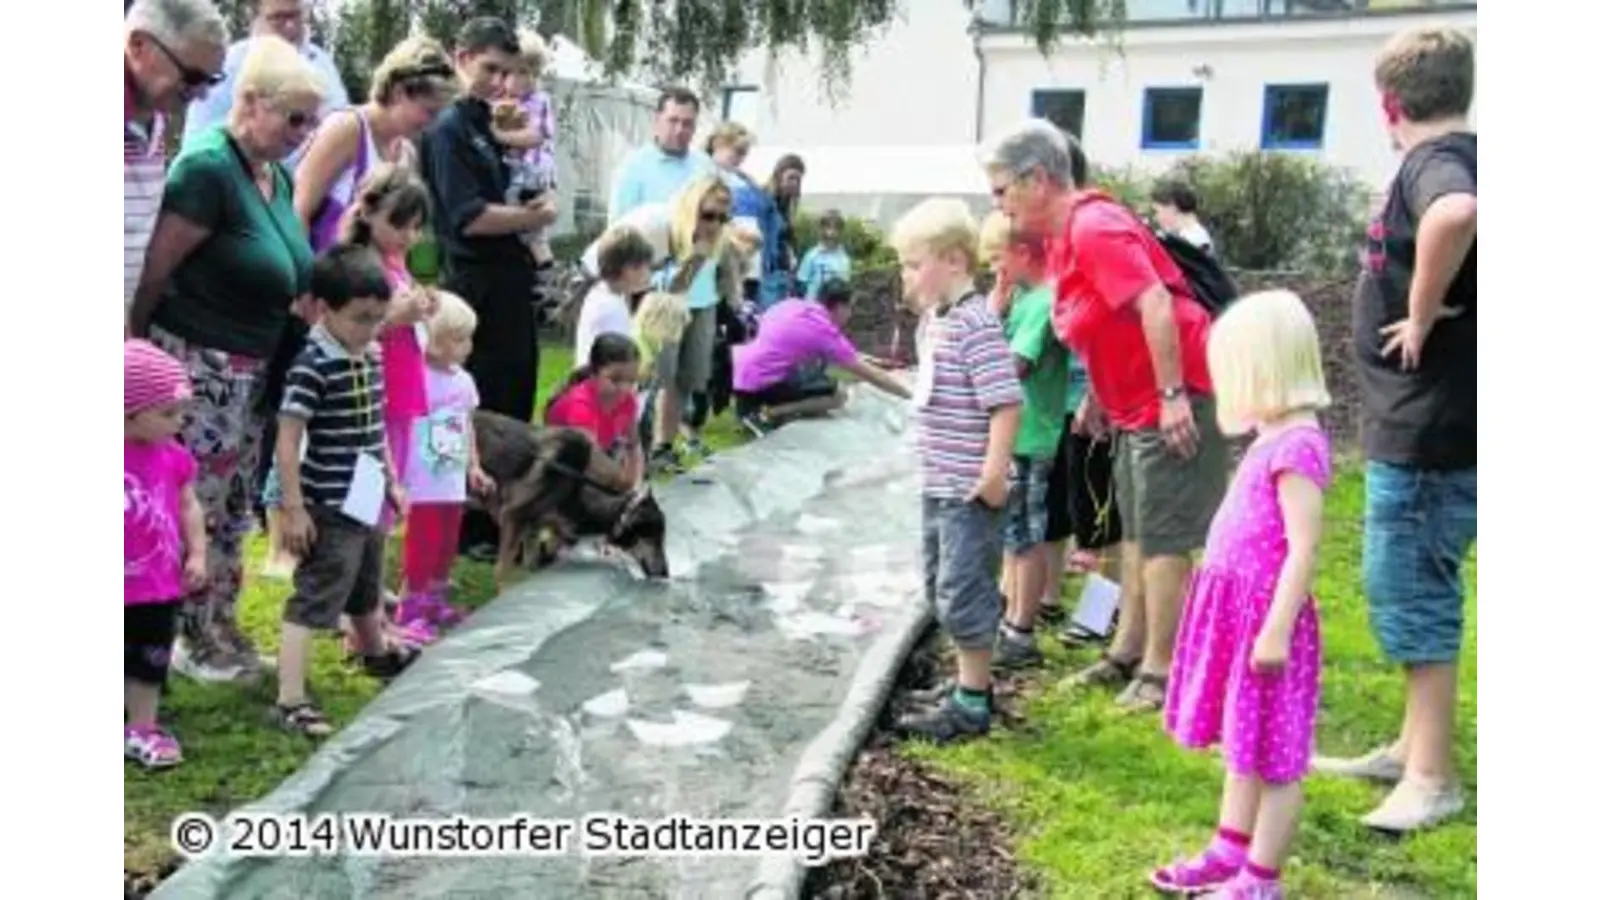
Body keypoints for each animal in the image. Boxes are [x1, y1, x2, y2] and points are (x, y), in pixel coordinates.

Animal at [467, 408, 668, 589]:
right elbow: (501, 573)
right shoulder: (513, 518)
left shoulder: (533, 530)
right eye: (654, 537)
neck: (580, 481)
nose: (666, 573)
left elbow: (532, 564)